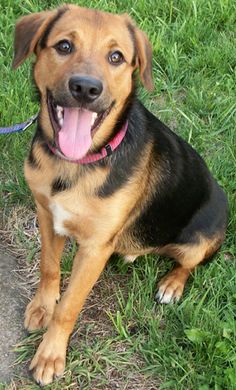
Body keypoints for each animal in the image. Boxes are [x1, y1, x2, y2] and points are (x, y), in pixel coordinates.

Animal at [12, 3, 228, 386]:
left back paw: (171, 285)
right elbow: (49, 268)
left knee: (190, 263)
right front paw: (42, 307)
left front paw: (50, 356)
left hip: (202, 236)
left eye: (116, 57)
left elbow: (69, 307)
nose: (85, 88)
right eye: (64, 46)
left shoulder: (94, 247)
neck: (75, 165)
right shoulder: (47, 215)